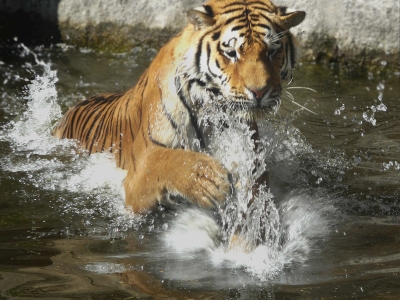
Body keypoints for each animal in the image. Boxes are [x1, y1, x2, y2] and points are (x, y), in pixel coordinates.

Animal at [52, 0, 304, 213]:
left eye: (272, 52)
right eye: (231, 53)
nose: (260, 92)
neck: (212, 107)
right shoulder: (139, 170)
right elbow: (167, 160)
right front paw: (208, 179)